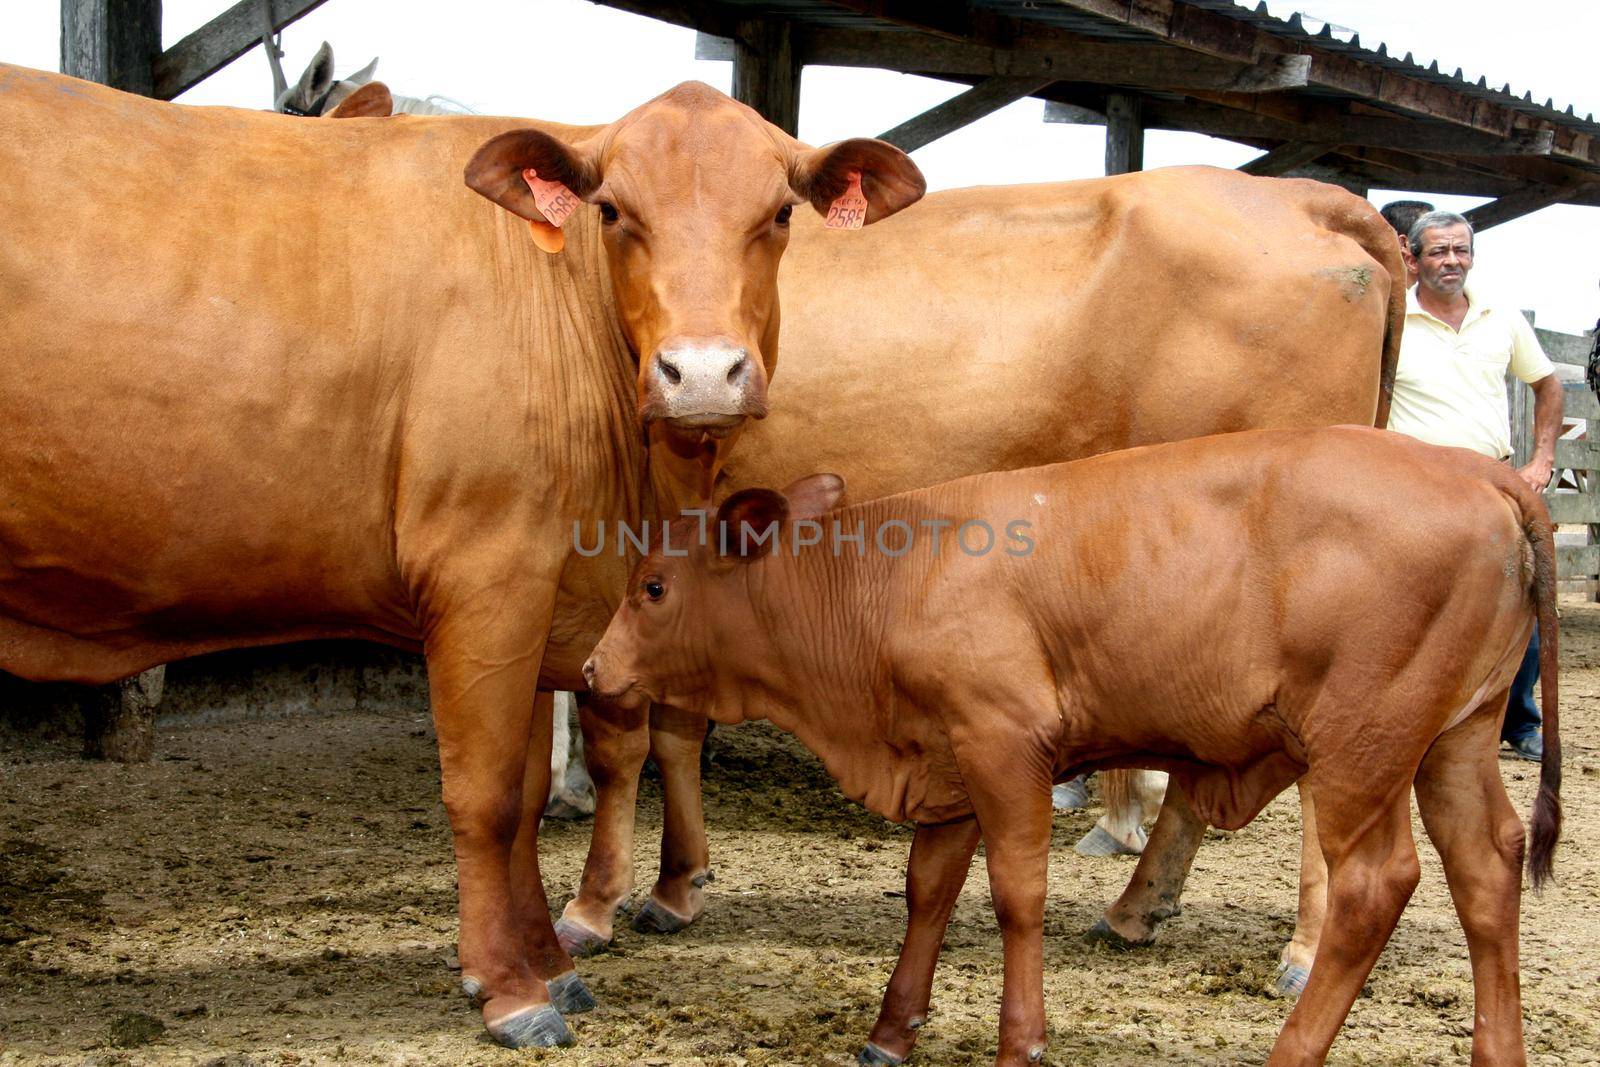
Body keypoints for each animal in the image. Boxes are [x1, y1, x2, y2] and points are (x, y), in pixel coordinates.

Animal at [556, 163, 1408, 991]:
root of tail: (1302, 194)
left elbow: (617, 733)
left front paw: (593, 901)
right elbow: (671, 724)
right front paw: (673, 884)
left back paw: (1305, 947)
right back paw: (1138, 906)